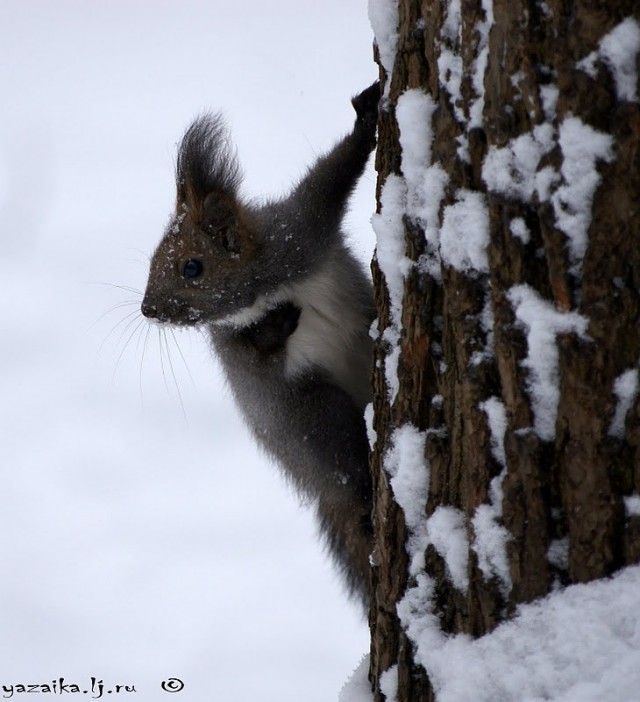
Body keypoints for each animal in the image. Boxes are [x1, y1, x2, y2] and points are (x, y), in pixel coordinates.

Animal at [141, 84, 380, 612]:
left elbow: (335, 175)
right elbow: (258, 359)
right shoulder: (232, 343)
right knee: (351, 469)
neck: (259, 292)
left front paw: (368, 115)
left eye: (192, 267)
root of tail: (322, 487)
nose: (148, 310)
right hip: (316, 416)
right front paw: (275, 327)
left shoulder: (301, 232)